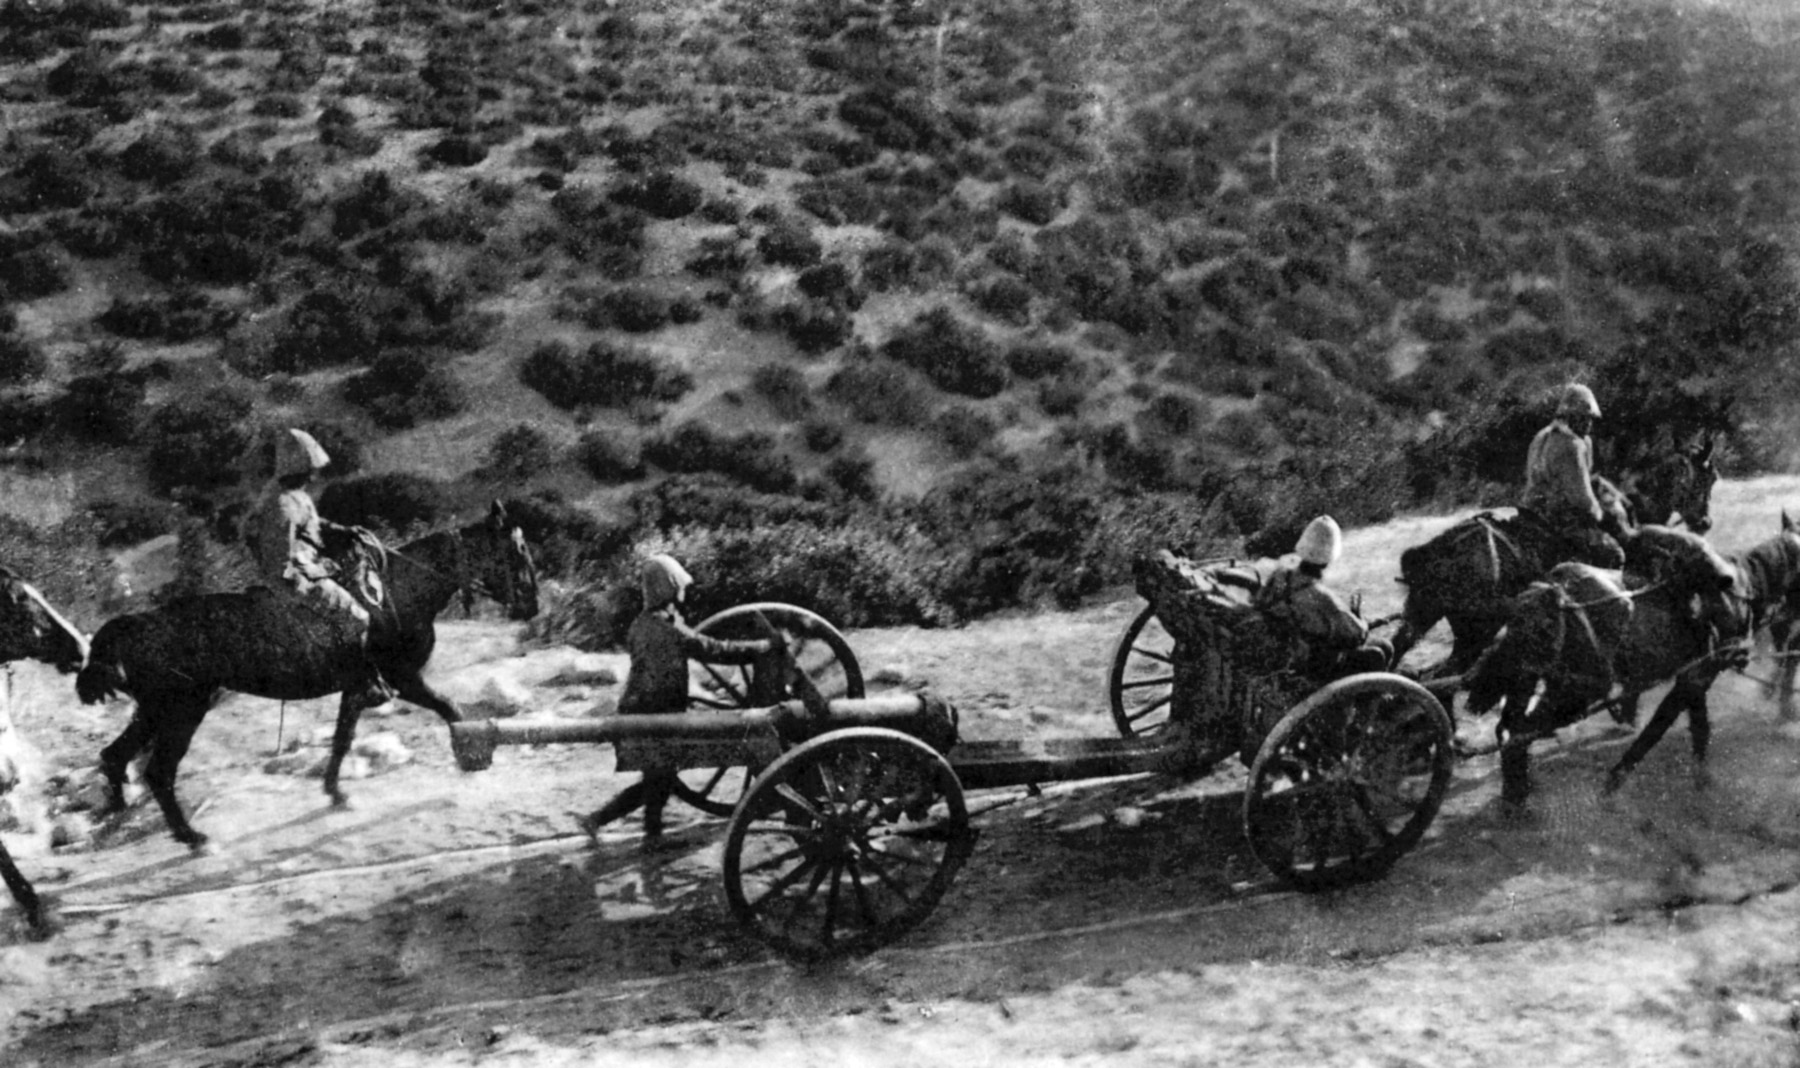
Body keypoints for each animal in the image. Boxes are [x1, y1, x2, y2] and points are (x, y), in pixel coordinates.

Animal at [77, 500, 536, 850]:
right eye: (517, 551)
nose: (531, 605)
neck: (398, 591)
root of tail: (135, 625)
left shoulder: (359, 686)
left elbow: (342, 738)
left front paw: (335, 792)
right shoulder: (402, 677)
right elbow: (451, 709)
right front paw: (472, 755)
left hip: (155, 711)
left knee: (115, 756)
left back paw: (121, 812)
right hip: (181, 711)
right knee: (158, 771)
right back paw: (192, 837)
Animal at [1382, 428, 1720, 669]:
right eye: (1708, 477)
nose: (1705, 522)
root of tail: (1430, 553)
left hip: (1423, 615)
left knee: (1397, 655)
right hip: (1475, 632)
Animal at [1461, 525, 1742, 806]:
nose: (1727, 579)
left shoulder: (1693, 675)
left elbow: (1690, 724)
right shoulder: (1696, 674)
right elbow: (1672, 727)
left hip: (1533, 684)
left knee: (1509, 730)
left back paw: (1514, 795)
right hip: (1569, 694)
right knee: (1517, 732)